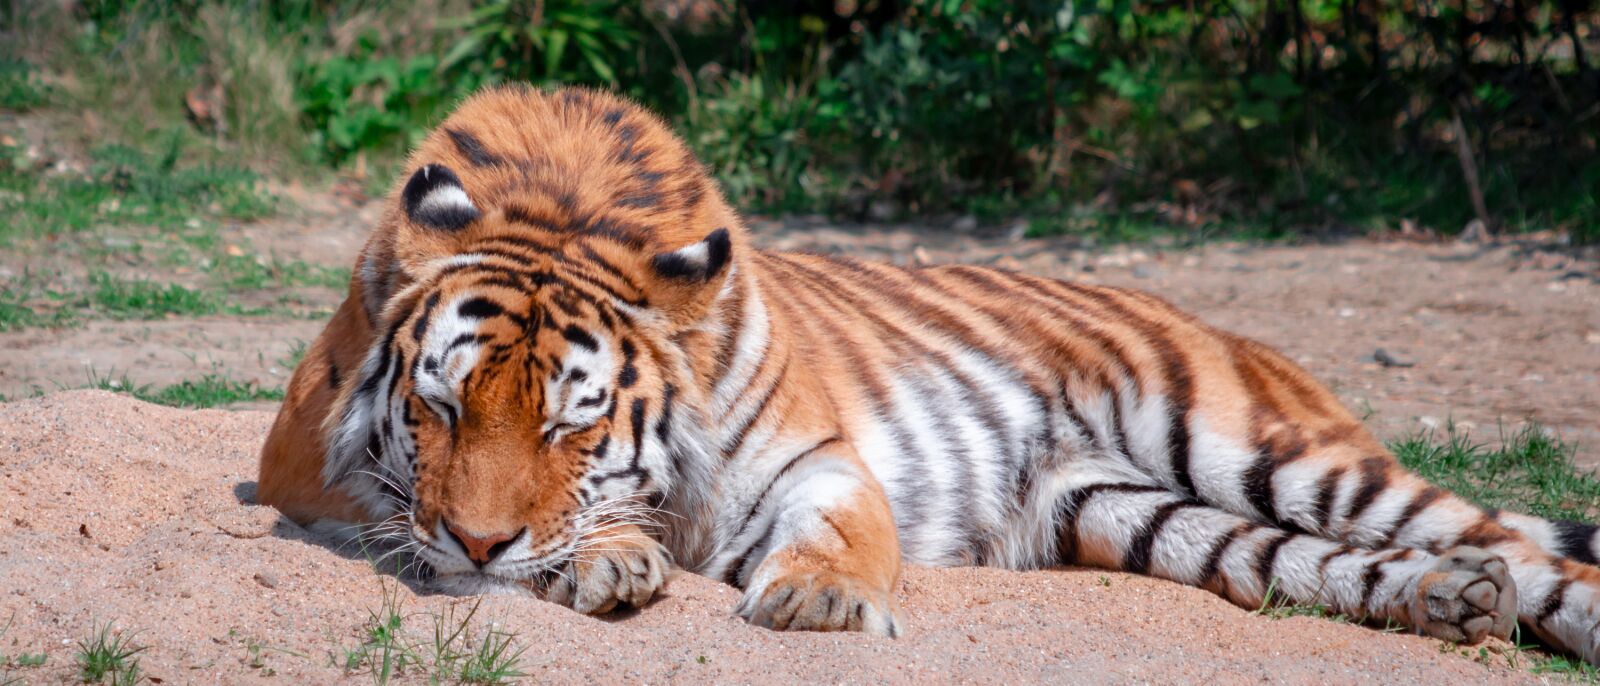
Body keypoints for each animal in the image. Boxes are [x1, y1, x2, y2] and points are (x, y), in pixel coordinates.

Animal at [259, 84, 1600, 662]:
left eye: (570, 426)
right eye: (439, 406)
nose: (478, 546)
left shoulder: (820, 458)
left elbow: (842, 534)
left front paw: (815, 599)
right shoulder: (301, 461)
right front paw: (610, 561)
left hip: (1278, 452)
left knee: (1527, 545)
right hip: (1143, 514)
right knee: (1326, 566)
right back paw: (1450, 603)